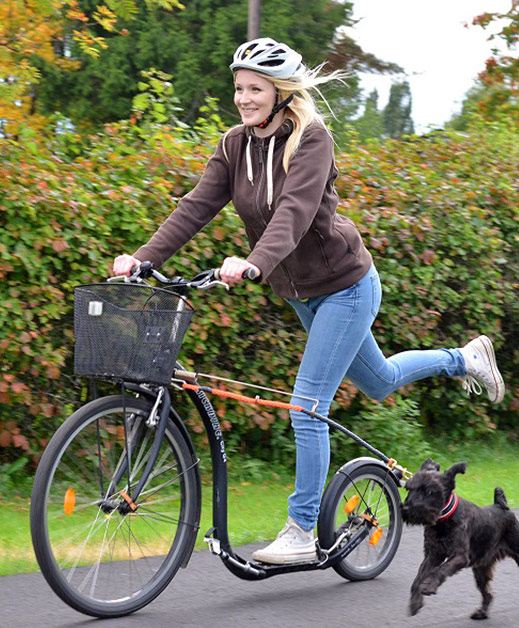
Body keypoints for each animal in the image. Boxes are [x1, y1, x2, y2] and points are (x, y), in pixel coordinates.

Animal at [402, 458, 519, 620]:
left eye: (429, 491)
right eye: (409, 489)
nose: (405, 509)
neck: (443, 521)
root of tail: (502, 506)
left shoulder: (459, 556)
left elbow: (440, 569)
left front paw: (429, 585)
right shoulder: (433, 555)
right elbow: (419, 576)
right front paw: (415, 601)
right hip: (480, 569)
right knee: (488, 594)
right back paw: (481, 613)